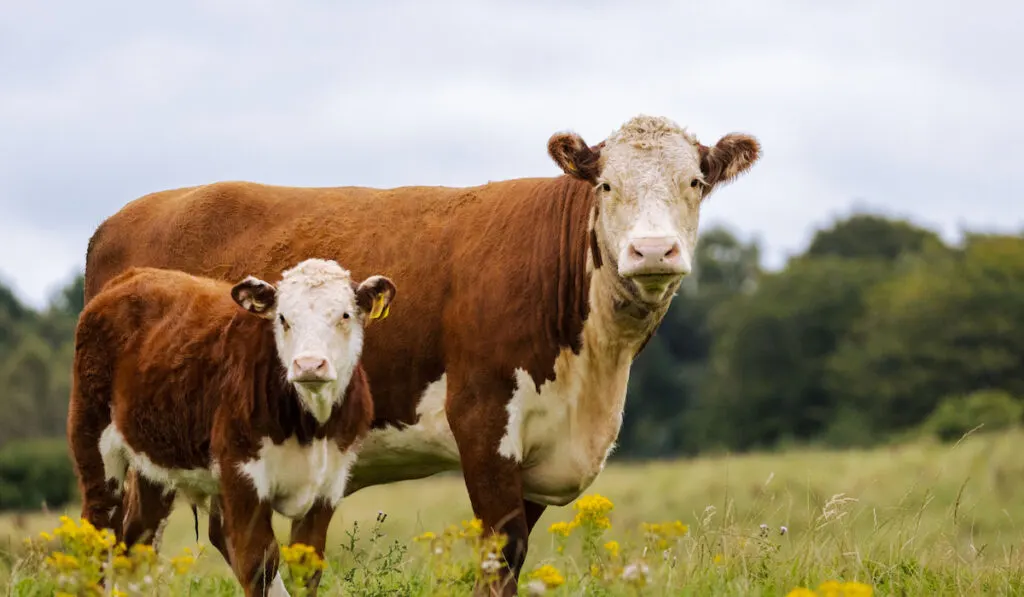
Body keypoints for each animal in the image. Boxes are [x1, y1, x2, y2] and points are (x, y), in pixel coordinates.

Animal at [68, 258, 393, 597]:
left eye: (344, 315)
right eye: (283, 318)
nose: (308, 365)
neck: (310, 427)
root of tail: (131, 276)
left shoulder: (329, 484)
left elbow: (307, 570)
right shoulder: (241, 476)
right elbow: (259, 563)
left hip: (154, 463)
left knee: (137, 541)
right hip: (94, 441)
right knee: (100, 531)